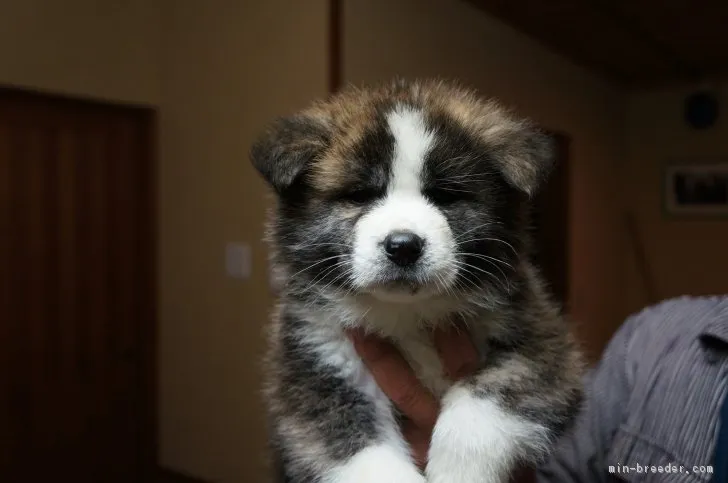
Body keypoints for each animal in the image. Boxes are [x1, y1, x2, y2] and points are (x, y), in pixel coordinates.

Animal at [253, 80, 584, 483]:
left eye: (445, 195)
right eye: (359, 195)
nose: (403, 246)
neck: (408, 314)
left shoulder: (544, 342)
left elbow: (487, 397)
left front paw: (459, 468)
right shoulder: (314, 371)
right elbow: (355, 446)